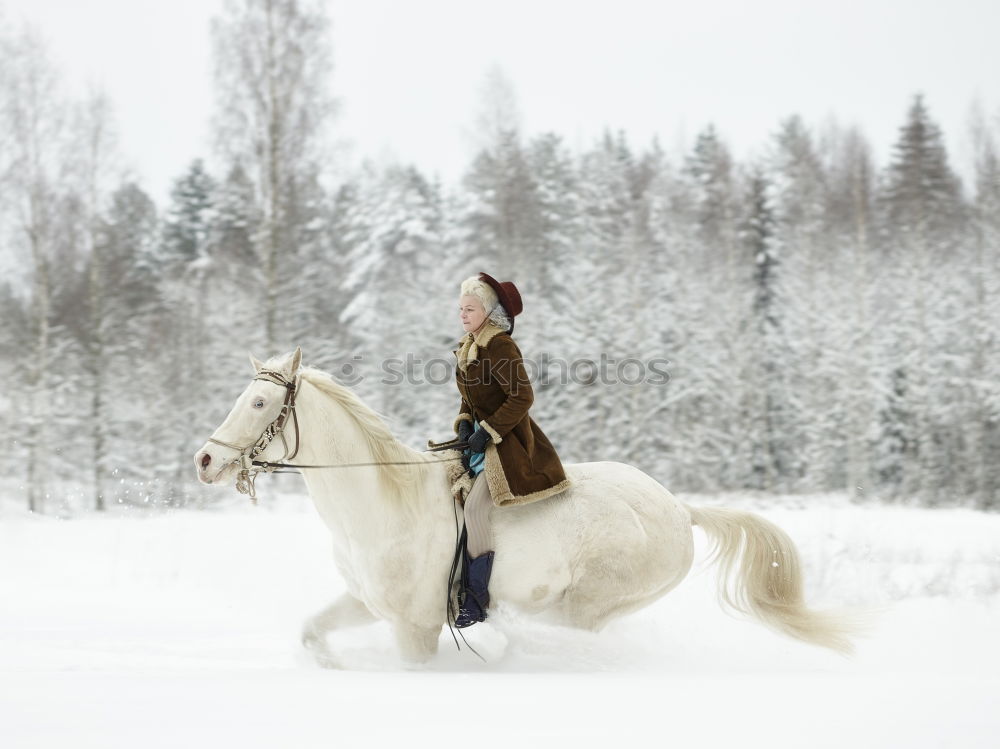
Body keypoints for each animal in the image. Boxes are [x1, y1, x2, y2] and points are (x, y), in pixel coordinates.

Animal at [195, 348, 860, 664]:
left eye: (259, 404)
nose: (204, 460)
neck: (382, 508)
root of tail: (679, 510)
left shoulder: (415, 626)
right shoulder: (367, 603)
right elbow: (312, 633)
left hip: (587, 607)